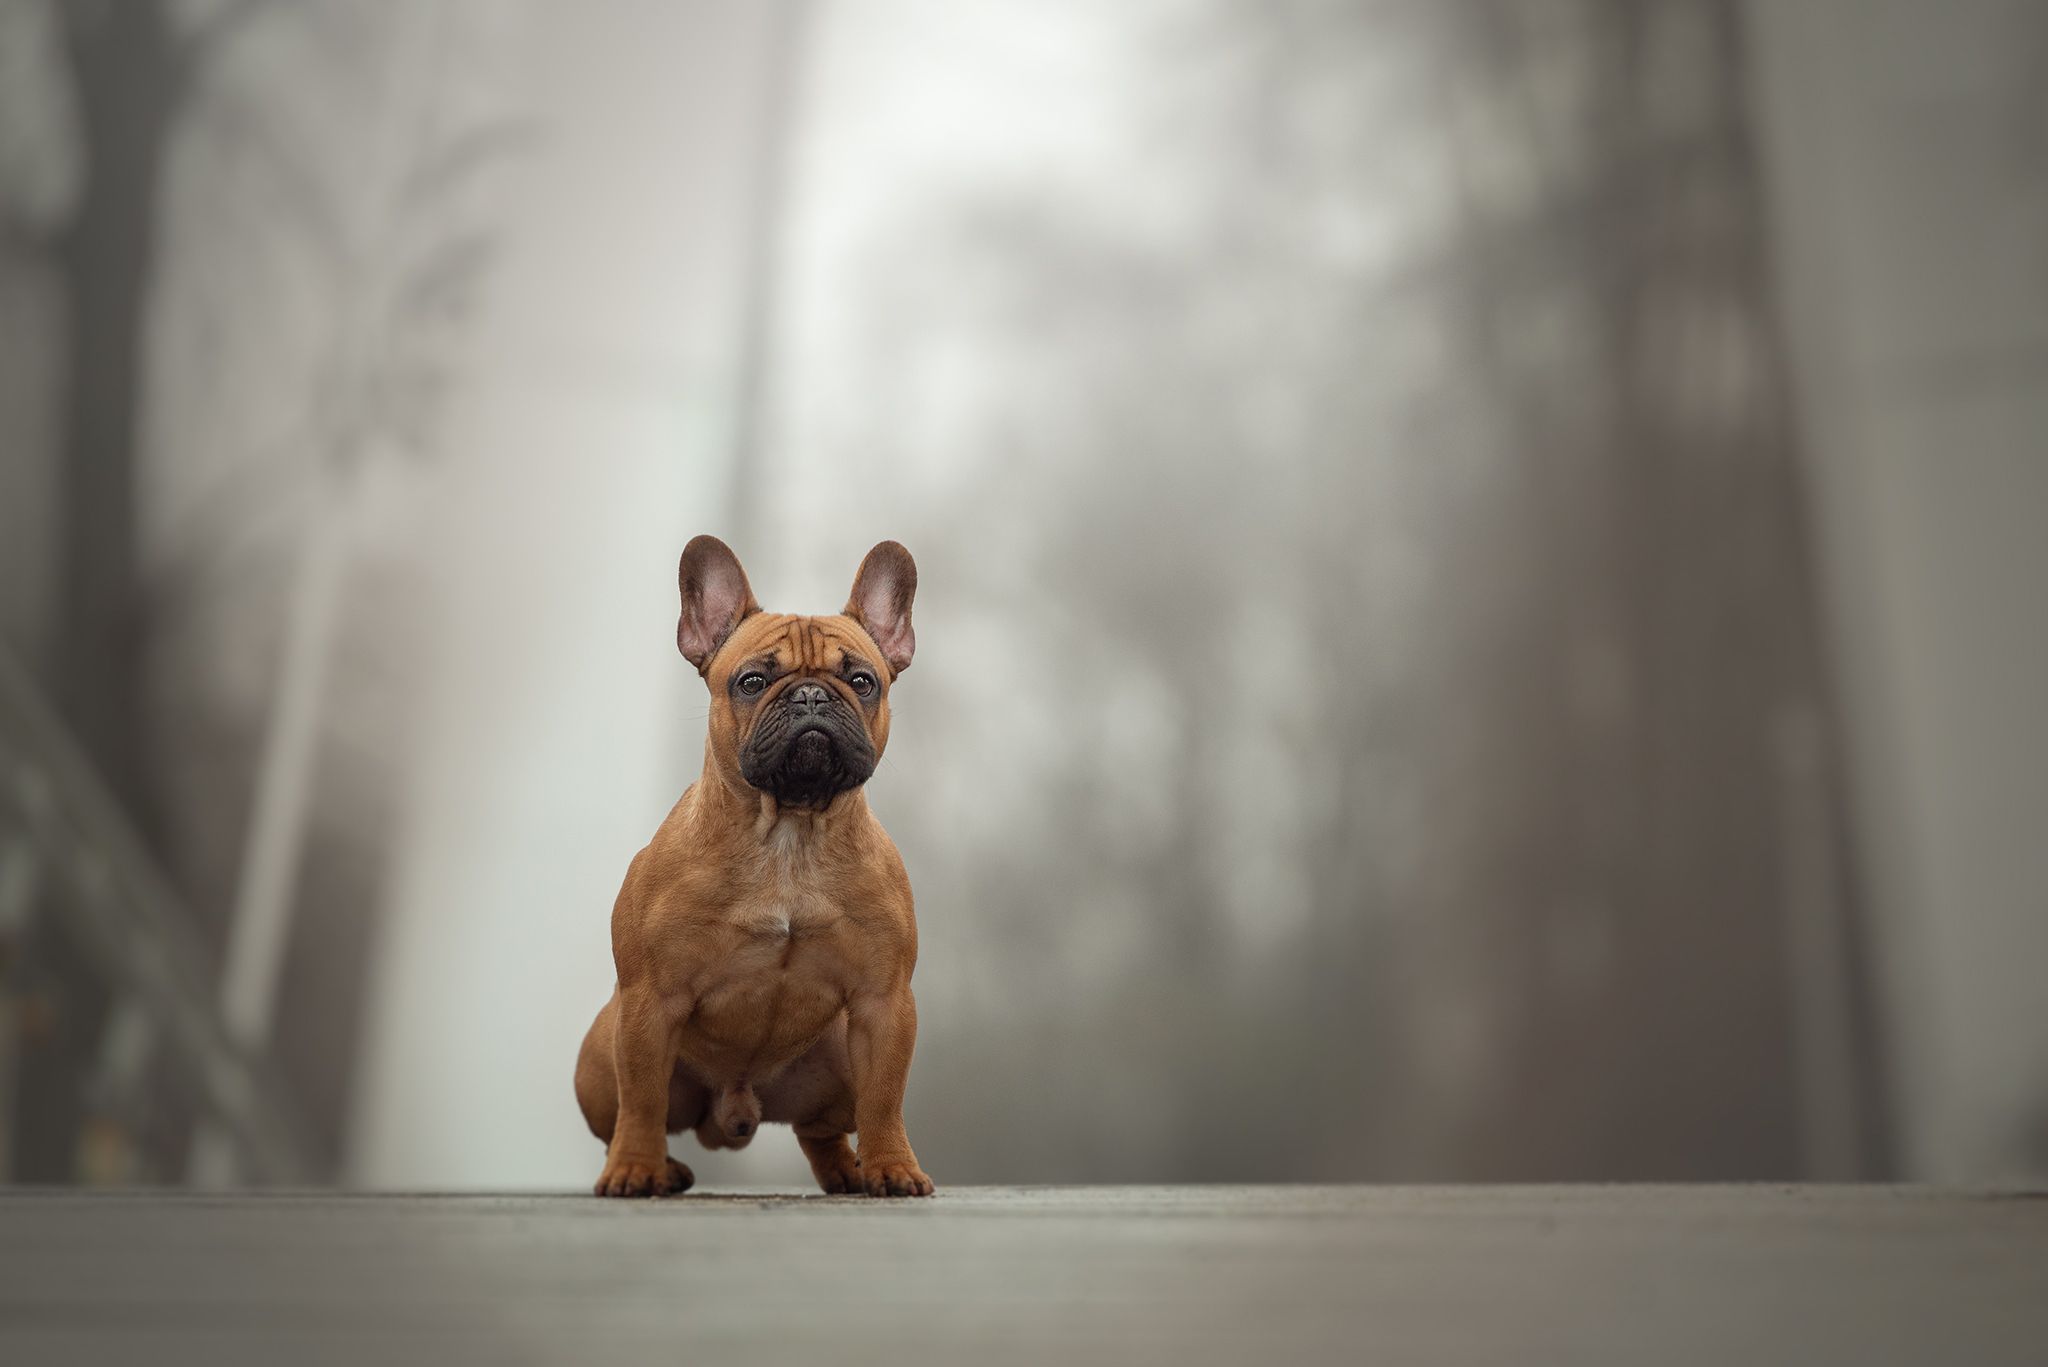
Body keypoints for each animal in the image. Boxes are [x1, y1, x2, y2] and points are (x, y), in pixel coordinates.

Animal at [573, 532, 933, 1196]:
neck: (790, 832)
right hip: (597, 1059)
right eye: (751, 680)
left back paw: (848, 1170)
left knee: (821, 1129)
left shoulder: (884, 1004)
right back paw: (658, 1167)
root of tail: (734, 1112)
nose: (812, 695)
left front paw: (893, 1166)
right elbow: (643, 1098)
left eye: (863, 680)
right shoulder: (648, 1001)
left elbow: (884, 1098)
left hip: (838, 1049)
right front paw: (634, 1167)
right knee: (631, 1110)